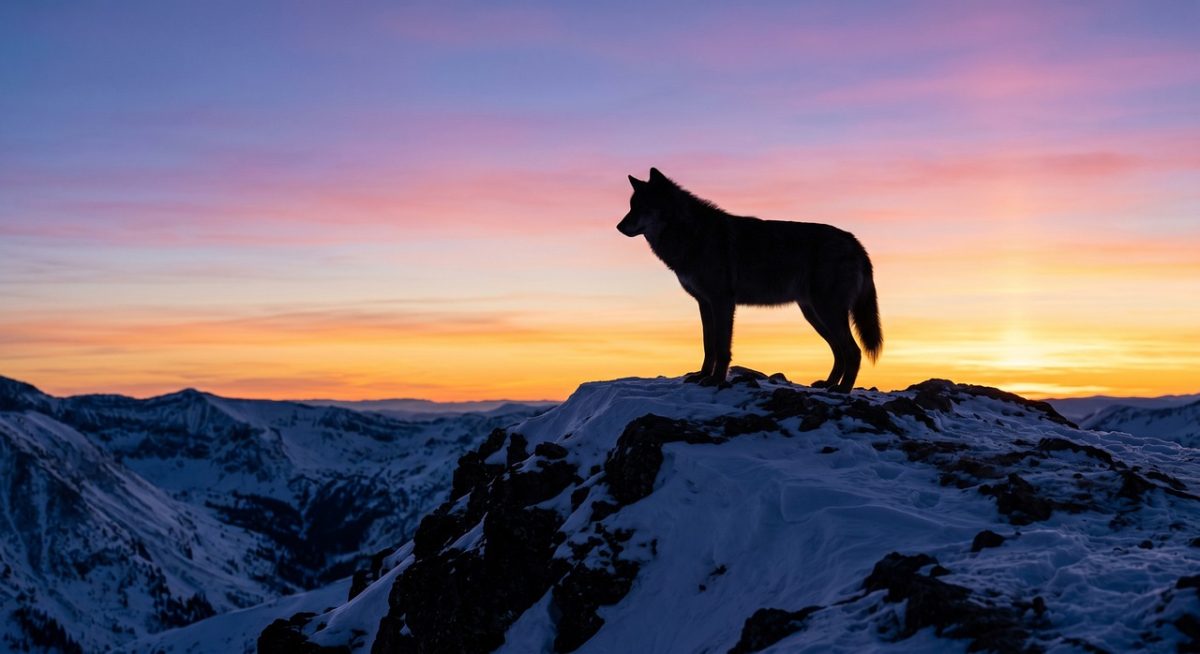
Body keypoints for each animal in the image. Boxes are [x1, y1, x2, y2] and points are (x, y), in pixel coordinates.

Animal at [617, 168, 882, 393]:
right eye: (631, 206)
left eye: (641, 207)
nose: (619, 226)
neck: (692, 234)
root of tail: (854, 241)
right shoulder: (704, 303)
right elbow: (708, 345)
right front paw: (702, 375)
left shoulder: (722, 302)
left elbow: (722, 347)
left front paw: (715, 380)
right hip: (814, 315)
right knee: (839, 351)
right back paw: (827, 384)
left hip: (827, 312)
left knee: (853, 351)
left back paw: (842, 390)